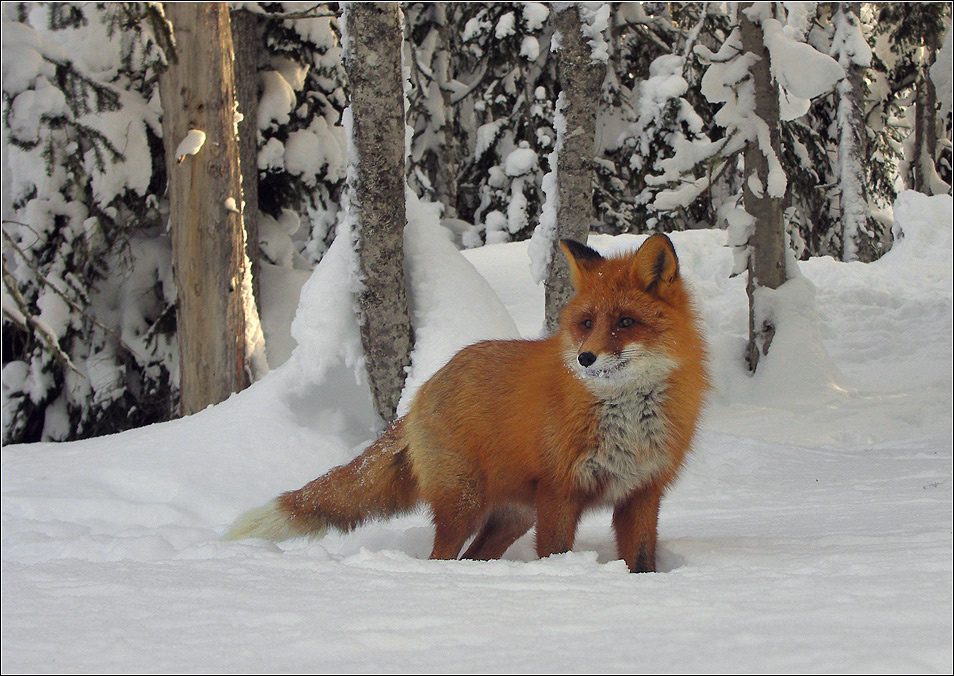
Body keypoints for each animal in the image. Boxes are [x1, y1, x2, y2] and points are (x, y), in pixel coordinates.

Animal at [225, 233, 709, 573]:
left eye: (625, 322)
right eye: (587, 323)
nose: (584, 358)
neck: (626, 416)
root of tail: (425, 388)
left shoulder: (643, 492)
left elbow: (641, 563)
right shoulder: (560, 491)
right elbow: (554, 554)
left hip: (512, 517)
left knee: (472, 557)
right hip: (464, 503)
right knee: (442, 558)